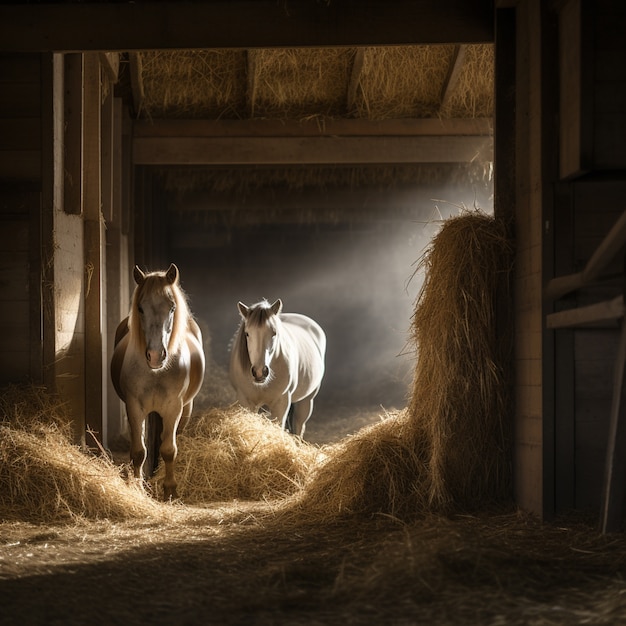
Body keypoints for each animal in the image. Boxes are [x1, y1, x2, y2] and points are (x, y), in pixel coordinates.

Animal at [108, 264, 204, 498]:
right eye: (140, 308)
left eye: (172, 308)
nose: (155, 356)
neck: (156, 373)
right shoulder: (134, 407)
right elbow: (138, 451)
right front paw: (138, 486)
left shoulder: (173, 408)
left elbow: (168, 449)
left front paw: (169, 489)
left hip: (185, 409)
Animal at [229, 298, 326, 436]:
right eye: (247, 334)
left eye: (274, 333)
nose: (260, 372)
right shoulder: (245, 401)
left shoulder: (281, 404)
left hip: (306, 400)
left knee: (299, 427)